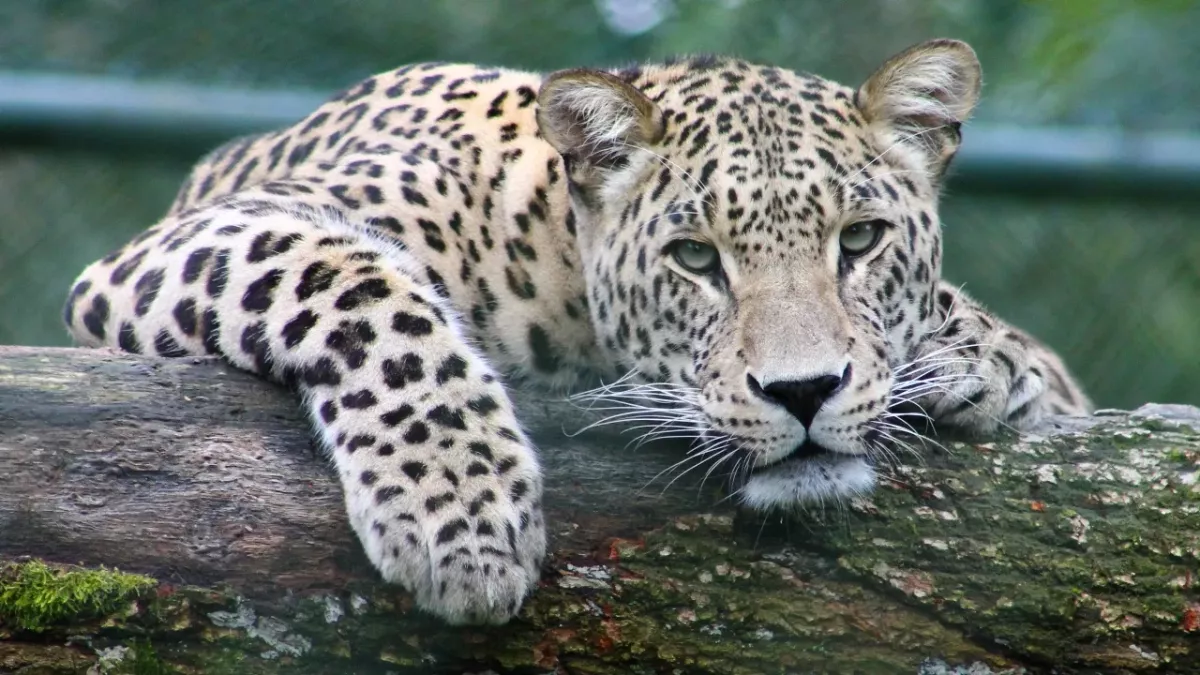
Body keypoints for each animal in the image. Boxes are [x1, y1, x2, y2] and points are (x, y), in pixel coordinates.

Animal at [63, 38, 1091, 626]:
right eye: (695, 257)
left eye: (863, 240)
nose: (803, 393)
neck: (551, 250)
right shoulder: (193, 240)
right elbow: (362, 287)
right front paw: (462, 515)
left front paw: (985, 357)